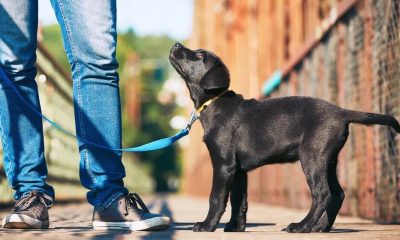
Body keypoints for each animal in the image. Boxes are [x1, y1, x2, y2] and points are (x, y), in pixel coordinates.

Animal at [169, 42, 400, 232]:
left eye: (199, 55)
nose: (176, 44)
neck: (214, 102)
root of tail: (342, 112)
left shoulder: (223, 164)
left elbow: (216, 198)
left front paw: (207, 225)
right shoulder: (239, 170)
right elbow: (238, 200)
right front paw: (235, 227)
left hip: (312, 157)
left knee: (322, 194)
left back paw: (302, 226)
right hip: (329, 160)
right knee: (337, 194)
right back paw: (320, 227)